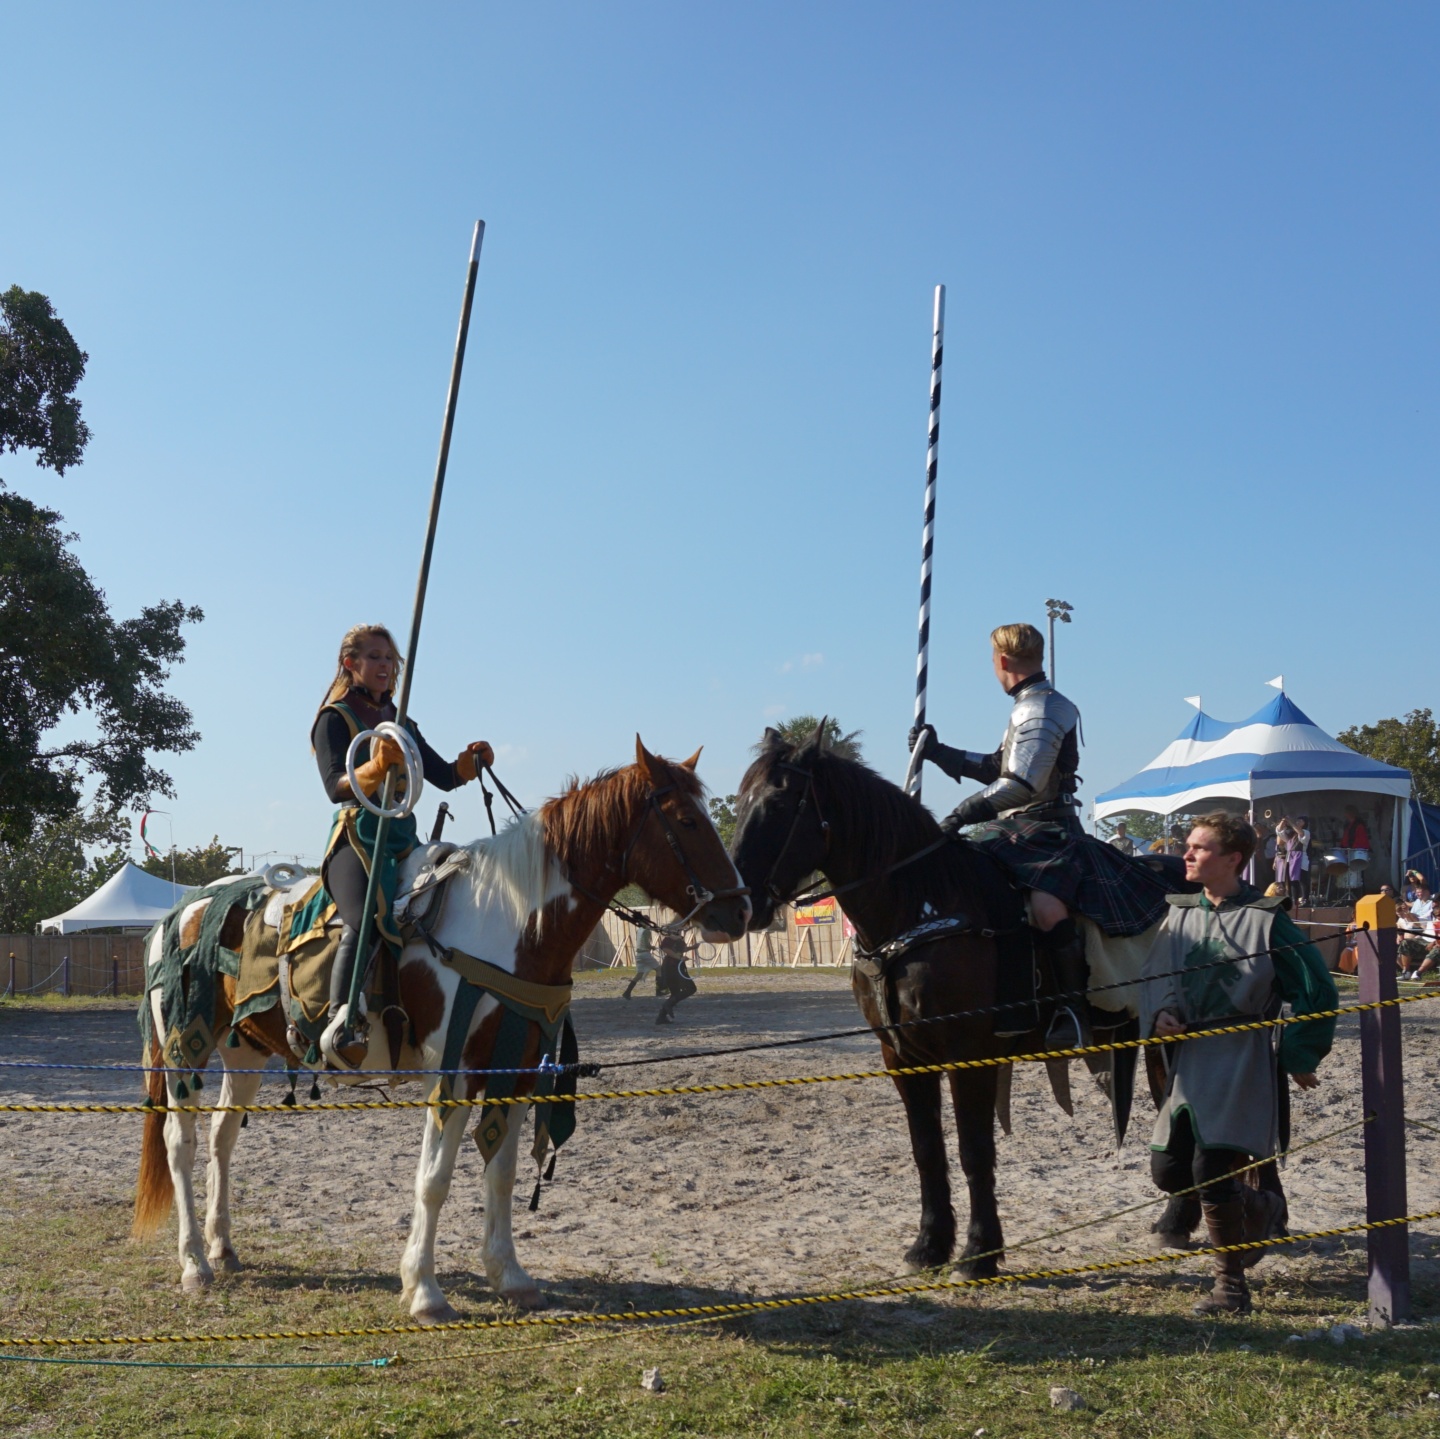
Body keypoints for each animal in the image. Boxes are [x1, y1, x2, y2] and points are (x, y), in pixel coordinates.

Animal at [132, 743, 754, 1319]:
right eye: (686, 819)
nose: (741, 912)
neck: (508, 923)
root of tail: (178, 915)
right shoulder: (452, 1071)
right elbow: (434, 1179)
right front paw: (425, 1291)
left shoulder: (516, 1068)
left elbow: (501, 1173)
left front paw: (510, 1276)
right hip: (184, 1046)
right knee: (181, 1144)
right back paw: (194, 1262)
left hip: (244, 1052)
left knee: (222, 1138)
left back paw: (222, 1247)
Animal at [737, 725, 1140, 1279]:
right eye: (741, 801)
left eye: (779, 802)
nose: (736, 901)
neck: (920, 905)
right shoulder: (903, 1057)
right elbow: (927, 1149)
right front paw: (929, 1244)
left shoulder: (970, 1054)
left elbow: (974, 1150)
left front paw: (979, 1252)